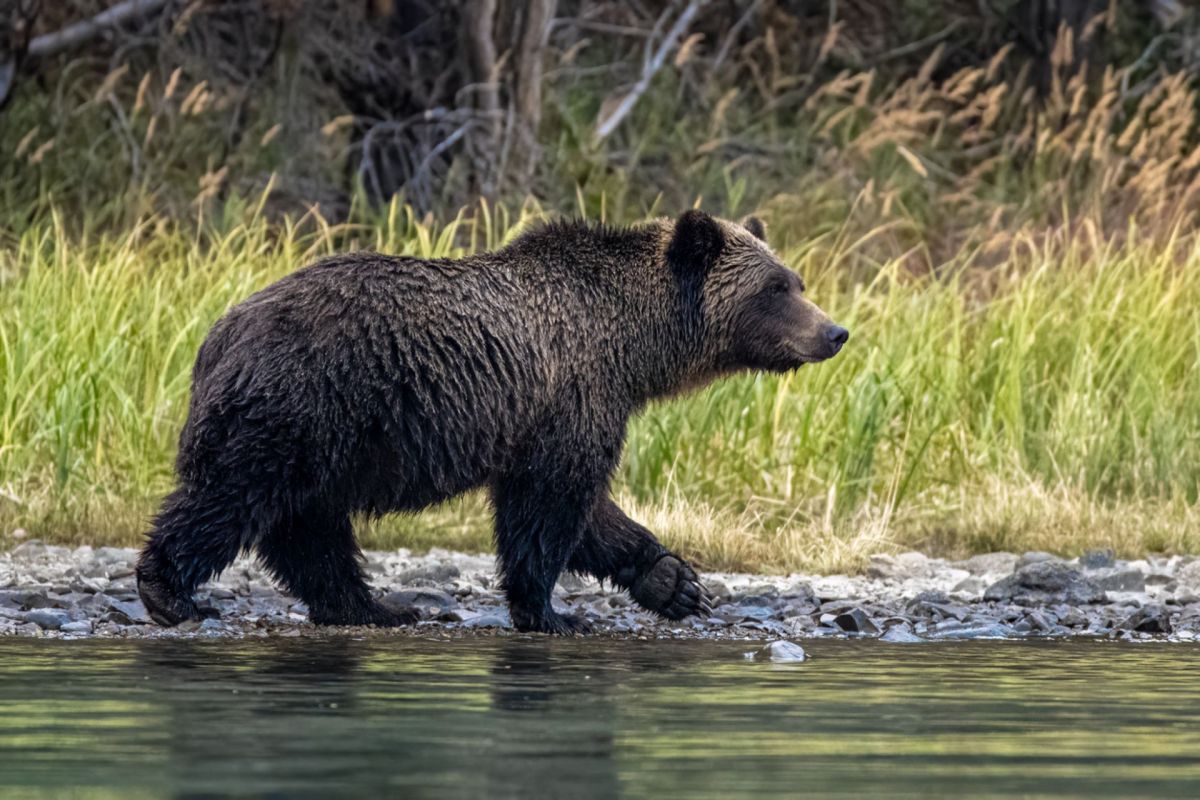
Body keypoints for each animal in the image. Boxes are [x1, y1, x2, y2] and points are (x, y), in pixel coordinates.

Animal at [136, 209, 849, 633]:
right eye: (776, 288)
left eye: (796, 280)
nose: (835, 332)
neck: (631, 345)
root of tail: (219, 335)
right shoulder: (573, 395)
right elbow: (550, 506)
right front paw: (553, 612)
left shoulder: (552, 413)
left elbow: (590, 513)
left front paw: (676, 582)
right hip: (301, 406)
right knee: (232, 496)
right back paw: (170, 592)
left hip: (323, 437)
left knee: (308, 525)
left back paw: (374, 605)